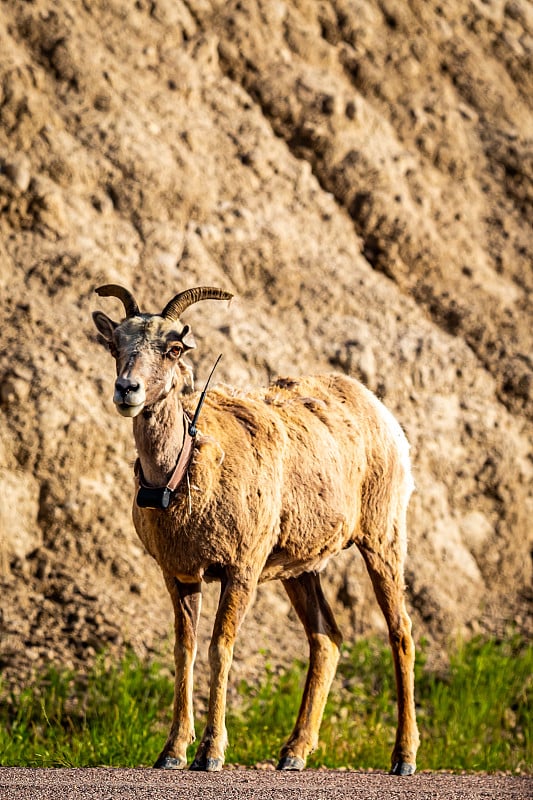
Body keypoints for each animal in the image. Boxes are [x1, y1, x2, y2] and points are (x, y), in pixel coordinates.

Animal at [92, 286, 420, 776]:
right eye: (116, 346)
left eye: (173, 349)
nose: (127, 390)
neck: (179, 474)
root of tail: (376, 406)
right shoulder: (181, 576)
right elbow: (184, 652)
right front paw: (172, 752)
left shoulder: (240, 571)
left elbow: (219, 649)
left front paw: (210, 754)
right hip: (301, 570)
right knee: (327, 639)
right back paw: (293, 754)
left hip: (382, 539)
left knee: (400, 633)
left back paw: (403, 759)